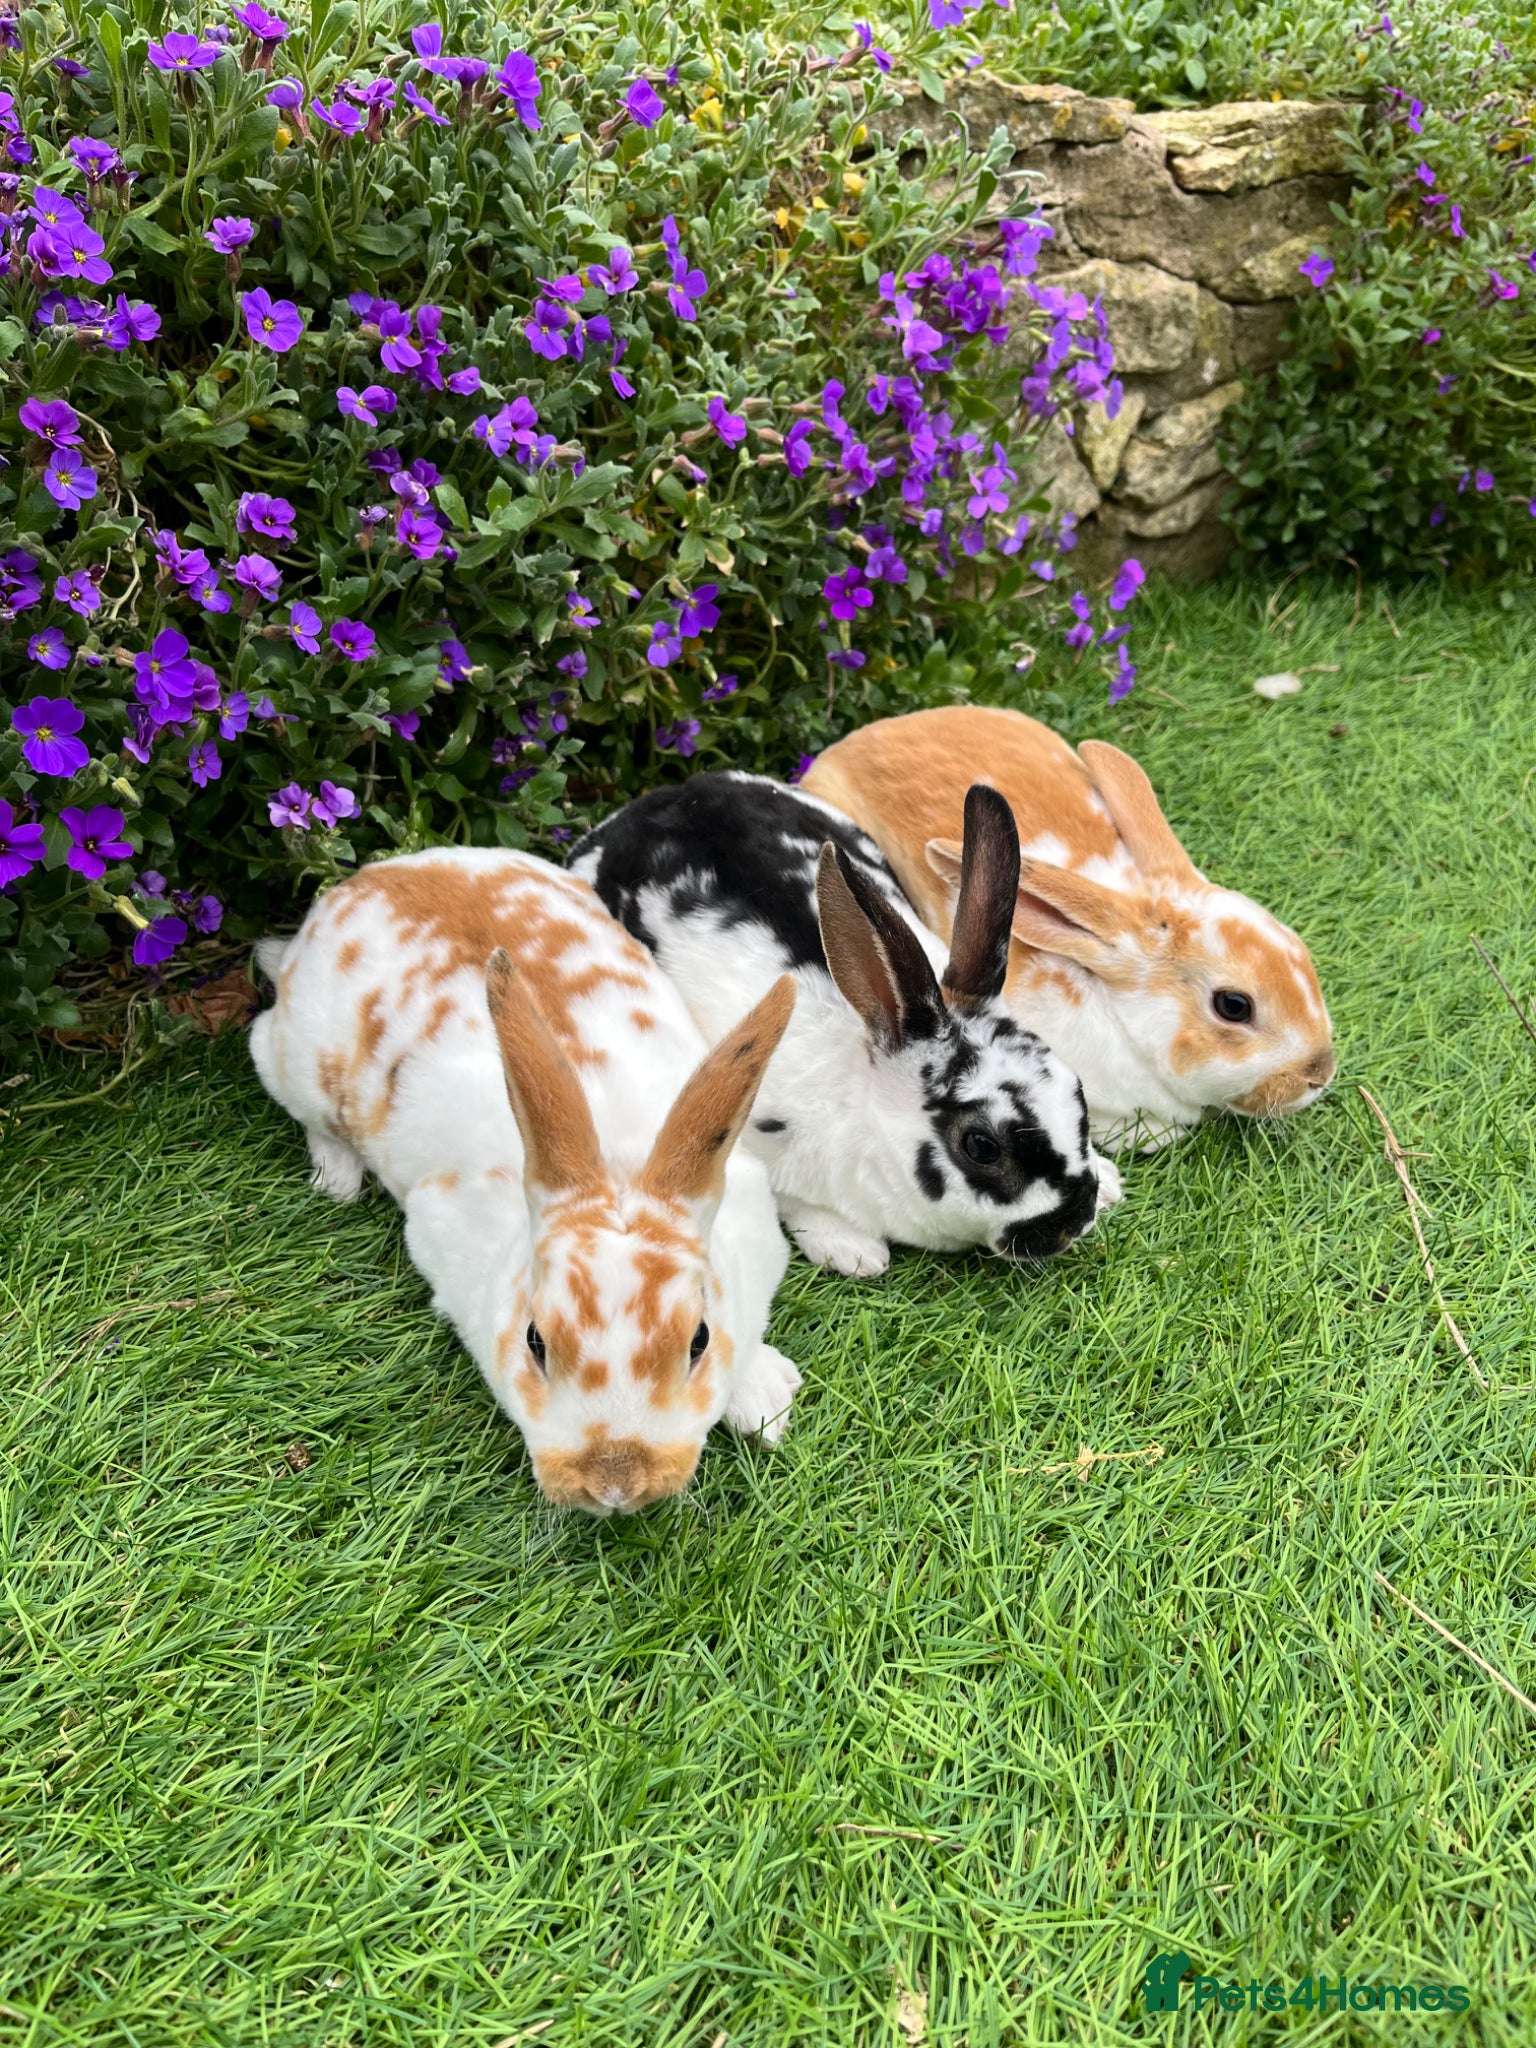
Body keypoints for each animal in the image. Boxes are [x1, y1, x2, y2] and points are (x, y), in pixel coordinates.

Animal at [249, 847, 803, 1514]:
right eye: (536, 1342)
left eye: (698, 1340)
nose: (615, 1484)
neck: (617, 1157)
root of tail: (351, 888)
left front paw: (767, 1399)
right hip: (292, 1069)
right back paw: (337, 1177)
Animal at [569, 772, 1121, 1280]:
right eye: (981, 1146)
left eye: (1077, 1090)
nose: (1075, 1221)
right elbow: (791, 1199)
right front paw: (853, 1252)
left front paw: (1110, 1181)